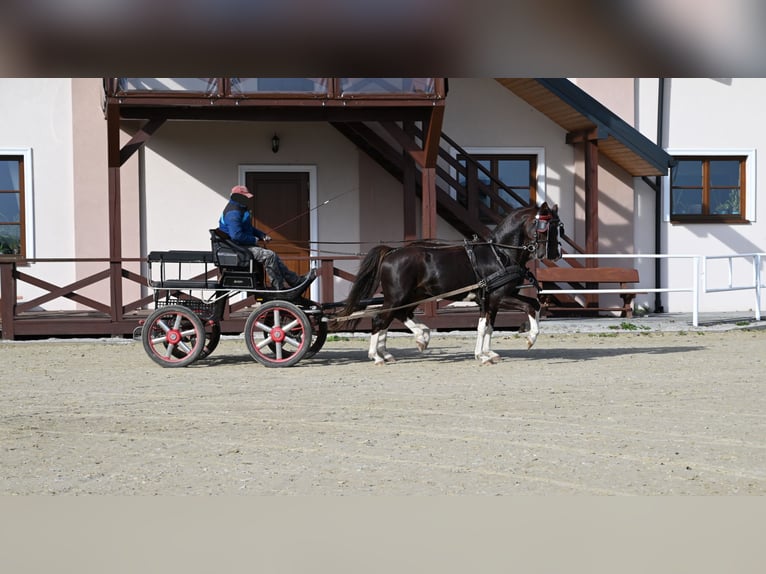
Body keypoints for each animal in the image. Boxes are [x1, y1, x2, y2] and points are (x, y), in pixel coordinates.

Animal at [339, 202, 562, 364]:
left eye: (559, 227)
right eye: (544, 227)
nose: (556, 253)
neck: (500, 253)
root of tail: (392, 252)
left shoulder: (491, 300)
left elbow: (487, 326)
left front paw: (486, 354)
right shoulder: (499, 296)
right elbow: (529, 307)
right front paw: (530, 338)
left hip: (412, 296)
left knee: (397, 315)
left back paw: (413, 340)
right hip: (397, 296)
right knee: (380, 318)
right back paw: (378, 355)